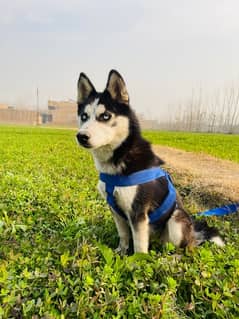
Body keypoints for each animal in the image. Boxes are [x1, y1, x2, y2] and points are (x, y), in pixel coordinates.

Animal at [75, 70, 223, 255]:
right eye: (84, 116)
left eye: (105, 116)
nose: (81, 136)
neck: (122, 154)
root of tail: (195, 232)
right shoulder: (115, 210)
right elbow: (123, 235)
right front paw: (121, 252)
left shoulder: (138, 213)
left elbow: (139, 246)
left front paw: (137, 262)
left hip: (176, 221)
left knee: (187, 247)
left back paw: (173, 257)